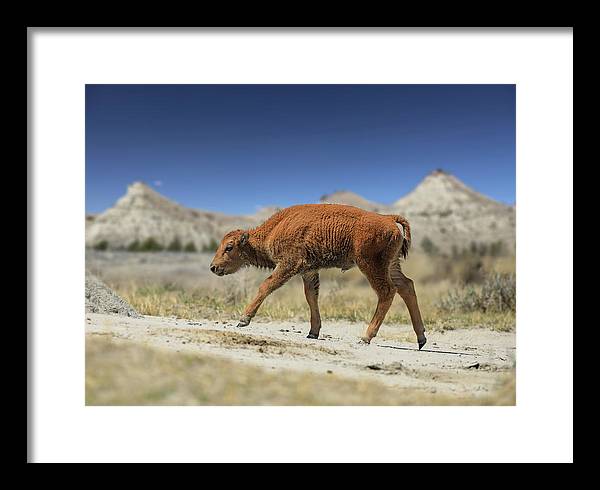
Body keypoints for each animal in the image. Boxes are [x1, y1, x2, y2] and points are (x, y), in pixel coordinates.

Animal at [211, 203, 426, 348]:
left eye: (229, 247)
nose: (213, 267)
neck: (275, 229)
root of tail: (388, 218)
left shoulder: (289, 265)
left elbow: (267, 285)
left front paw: (243, 319)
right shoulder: (309, 271)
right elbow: (311, 297)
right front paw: (313, 333)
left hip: (371, 265)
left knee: (387, 291)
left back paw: (366, 337)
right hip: (392, 265)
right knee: (406, 286)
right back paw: (421, 338)